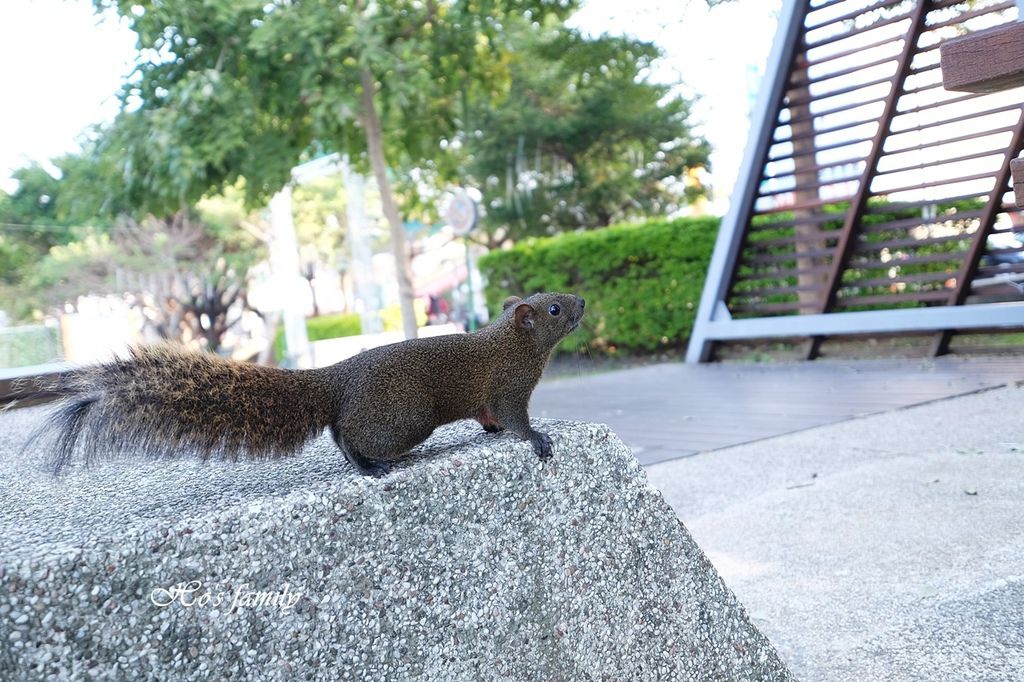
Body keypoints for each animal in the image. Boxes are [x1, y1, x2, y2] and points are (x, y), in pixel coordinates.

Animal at [36, 288, 585, 475]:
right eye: (554, 309)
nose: (582, 301)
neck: (511, 343)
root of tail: (336, 379)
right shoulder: (509, 385)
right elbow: (515, 418)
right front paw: (537, 439)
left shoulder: (491, 396)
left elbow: (490, 417)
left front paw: (493, 431)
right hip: (404, 416)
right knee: (347, 434)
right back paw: (370, 467)